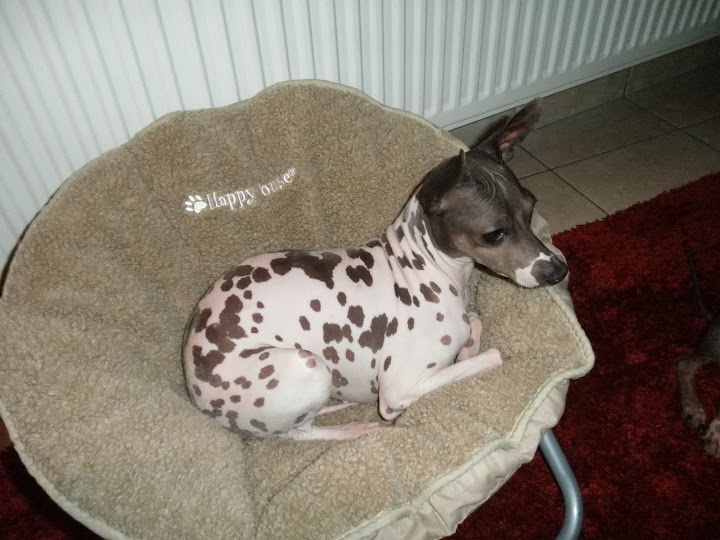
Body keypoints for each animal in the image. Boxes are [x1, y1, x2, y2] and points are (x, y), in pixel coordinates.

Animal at [182, 100, 568, 441]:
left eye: (531, 208)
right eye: (494, 234)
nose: (557, 271)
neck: (427, 269)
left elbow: (473, 324)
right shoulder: (399, 389)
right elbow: (489, 357)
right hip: (306, 367)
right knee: (296, 433)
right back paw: (349, 429)